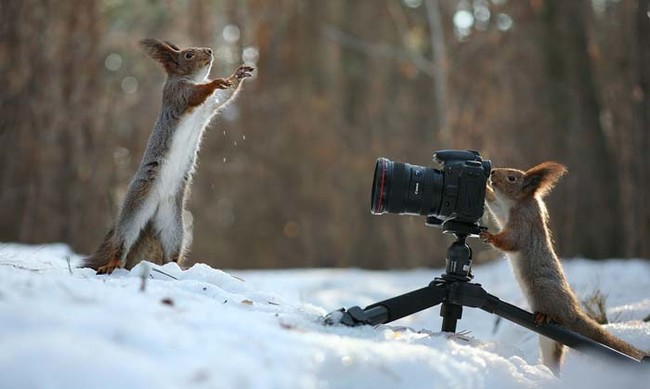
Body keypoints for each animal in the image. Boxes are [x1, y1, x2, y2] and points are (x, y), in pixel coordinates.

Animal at [87, 38, 254, 272]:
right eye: (188, 55)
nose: (209, 51)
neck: (192, 79)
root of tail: (154, 212)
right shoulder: (176, 94)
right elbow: (194, 94)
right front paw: (215, 83)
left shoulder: (209, 107)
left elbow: (224, 97)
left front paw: (238, 74)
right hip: (135, 208)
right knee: (123, 241)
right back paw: (113, 263)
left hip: (174, 226)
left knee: (171, 252)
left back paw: (176, 269)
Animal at [480, 161, 644, 372]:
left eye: (512, 178)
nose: (492, 172)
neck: (518, 203)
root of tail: (573, 314)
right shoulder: (502, 211)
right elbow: (494, 205)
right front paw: (485, 188)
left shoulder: (523, 225)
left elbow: (510, 241)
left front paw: (490, 237)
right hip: (549, 341)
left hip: (544, 292)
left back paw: (545, 317)